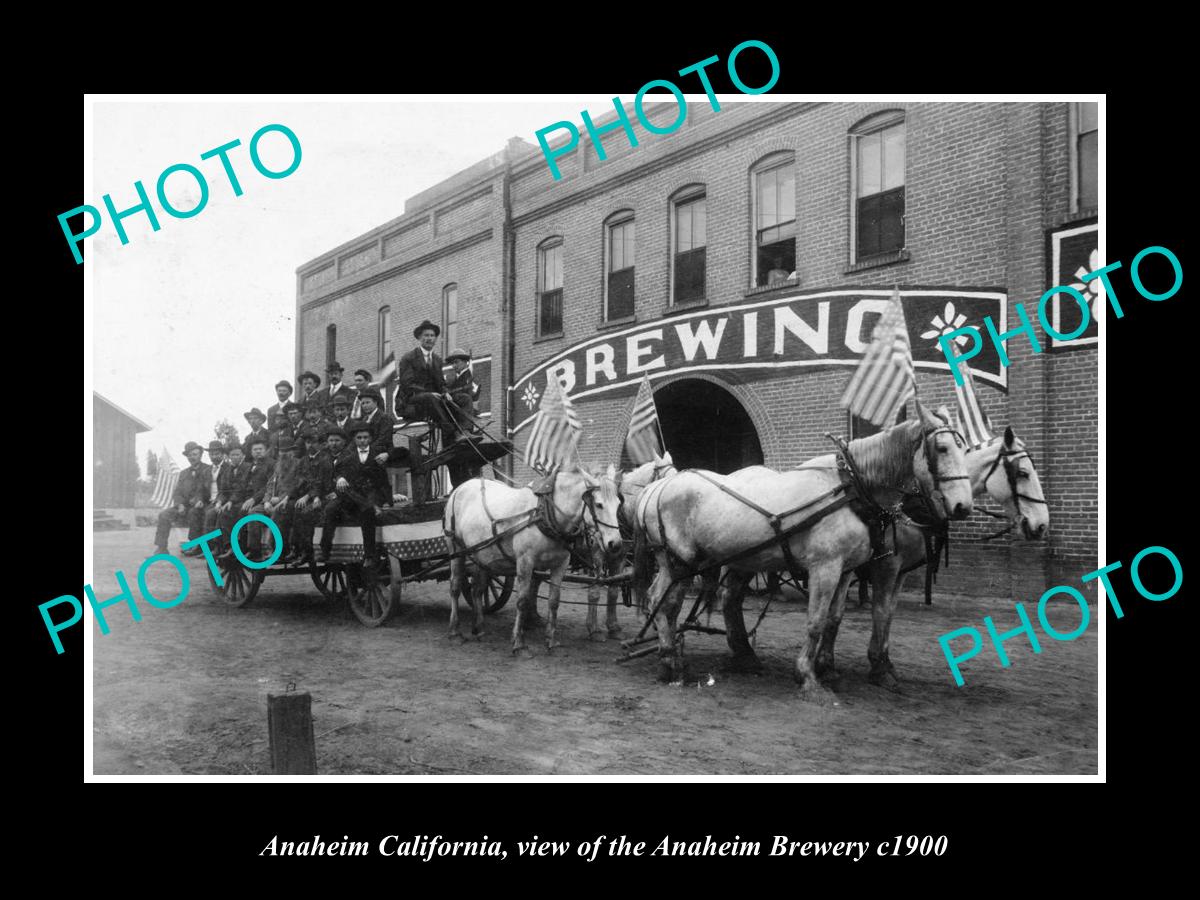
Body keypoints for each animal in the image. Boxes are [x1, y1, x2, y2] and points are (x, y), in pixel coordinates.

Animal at [446, 465, 624, 657]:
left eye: (618, 504)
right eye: (599, 504)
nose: (615, 544)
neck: (547, 514)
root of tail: (460, 487)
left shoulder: (560, 564)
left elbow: (554, 601)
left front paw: (551, 640)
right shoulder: (525, 562)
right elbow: (522, 601)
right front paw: (519, 643)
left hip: (481, 554)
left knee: (477, 590)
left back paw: (478, 628)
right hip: (456, 549)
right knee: (455, 587)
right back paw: (454, 632)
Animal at [588, 458, 681, 643]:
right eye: (666, 477)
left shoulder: (620, 555)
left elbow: (613, 590)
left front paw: (614, 627)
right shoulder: (595, 555)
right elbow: (594, 591)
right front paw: (594, 629)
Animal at [633, 408, 969, 696]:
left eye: (964, 448)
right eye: (942, 448)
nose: (962, 506)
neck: (850, 487)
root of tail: (657, 488)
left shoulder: (845, 570)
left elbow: (835, 618)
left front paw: (829, 669)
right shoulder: (828, 567)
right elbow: (817, 621)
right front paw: (808, 676)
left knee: (679, 602)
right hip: (677, 562)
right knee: (661, 600)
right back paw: (671, 663)